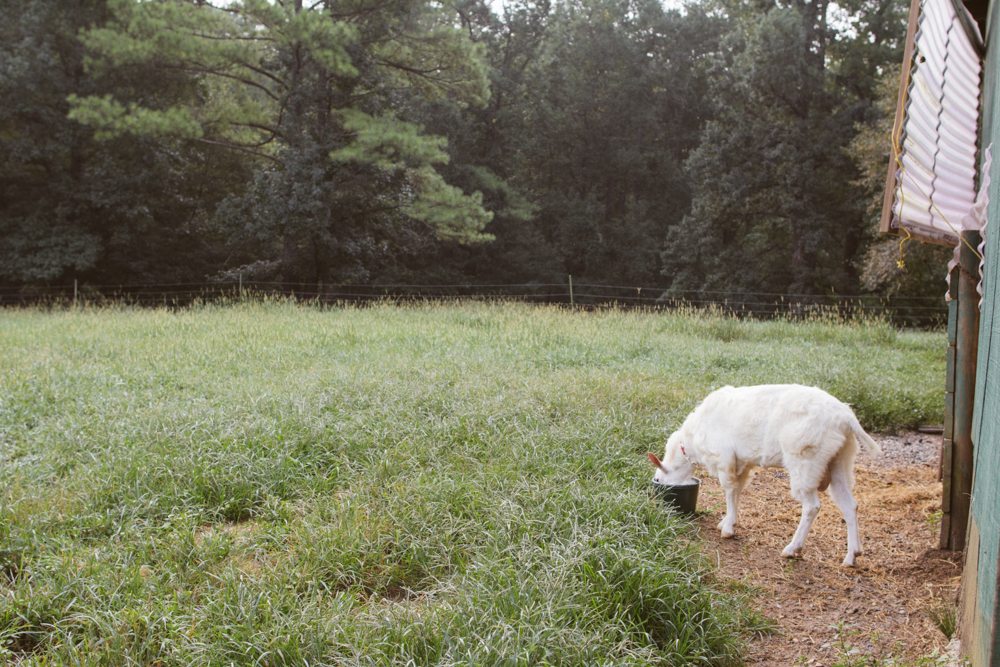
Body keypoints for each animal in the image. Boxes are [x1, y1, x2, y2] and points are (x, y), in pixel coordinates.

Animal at [648, 384, 881, 567]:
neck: (690, 443)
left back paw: (792, 548)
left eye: (658, 480)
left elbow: (729, 491)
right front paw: (728, 521)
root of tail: (846, 418)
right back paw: (852, 556)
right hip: (841, 459)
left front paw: (728, 529)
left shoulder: (724, 459)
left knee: (812, 506)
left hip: (806, 459)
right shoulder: (742, 463)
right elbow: (737, 491)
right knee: (849, 504)